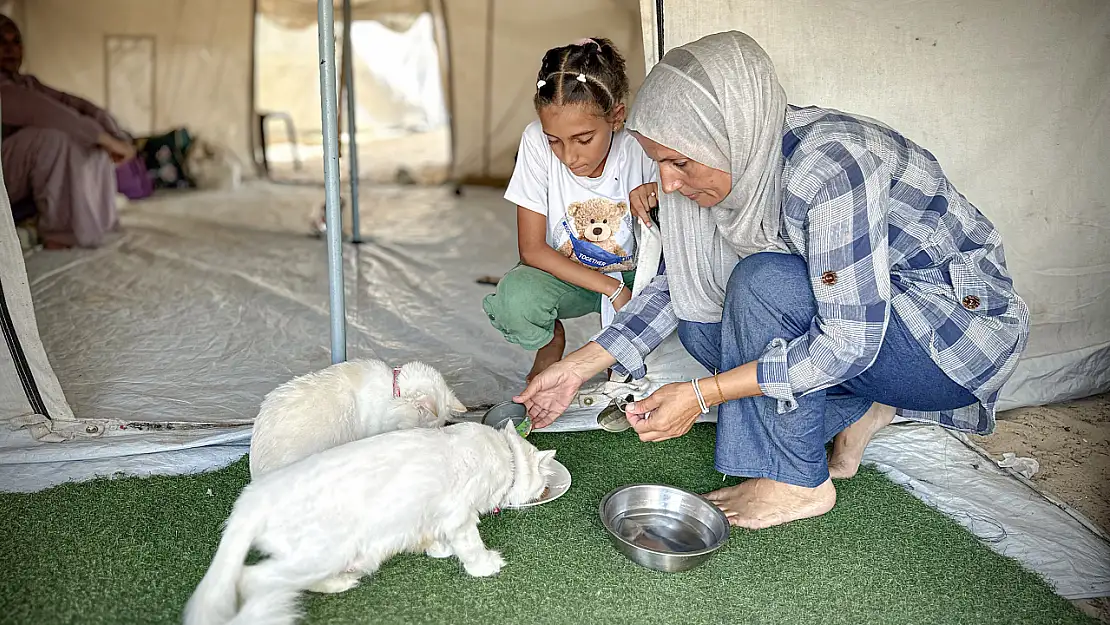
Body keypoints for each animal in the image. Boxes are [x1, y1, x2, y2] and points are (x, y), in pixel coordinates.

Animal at [187, 419, 563, 625]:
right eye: (543, 485)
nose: (546, 490)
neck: (505, 454)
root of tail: (251, 500)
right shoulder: (459, 514)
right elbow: (471, 546)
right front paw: (485, 565)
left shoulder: (426, 515)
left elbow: (431, 537)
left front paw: (437, 549)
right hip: (325, 551)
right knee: (253, 580)